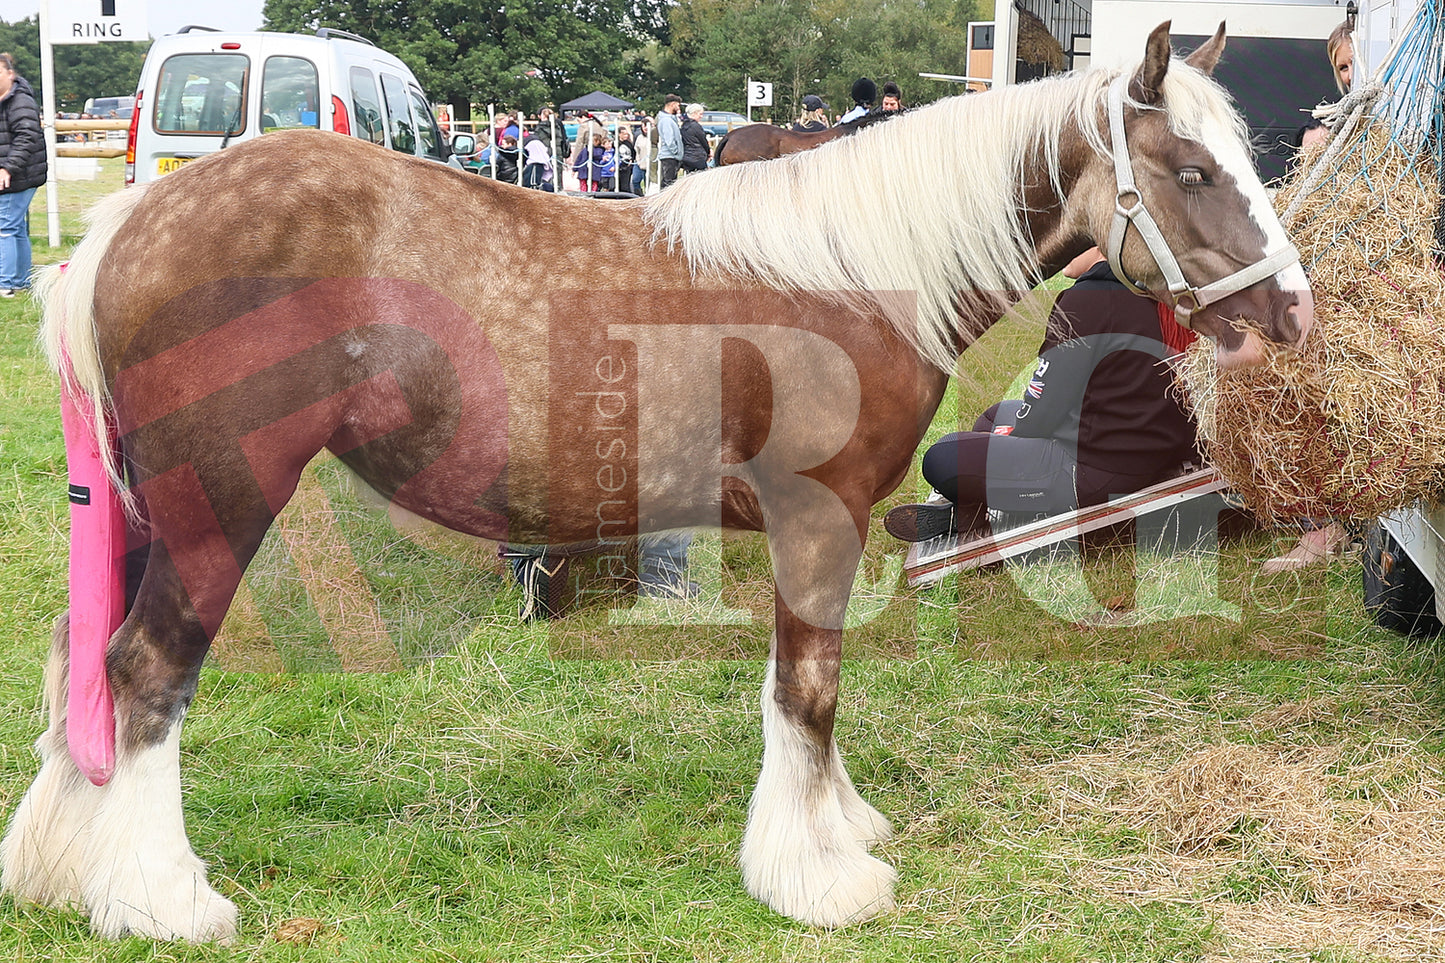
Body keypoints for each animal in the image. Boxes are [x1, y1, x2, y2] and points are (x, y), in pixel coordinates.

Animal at [2, 22, 1312, 936]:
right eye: (1191, 169)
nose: (1290, 312)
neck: (852, 275)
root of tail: (129, 224)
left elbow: (809, 694)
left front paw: (837, 829)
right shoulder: (816, 518)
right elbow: (805, 691)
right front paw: (815, 877)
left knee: (90, 663)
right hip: (219, 504)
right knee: (147, 672)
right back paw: (165, 901)